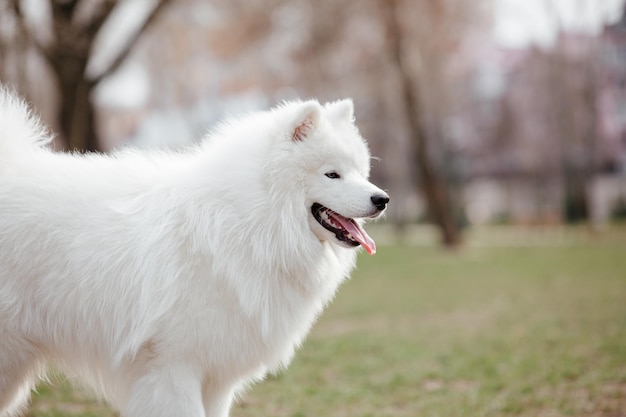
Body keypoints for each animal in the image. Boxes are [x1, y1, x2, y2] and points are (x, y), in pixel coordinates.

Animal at [0, 88, 388, 416]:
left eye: (359, 171)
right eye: (332, 174)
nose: (382, 199)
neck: (249, 219)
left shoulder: (215, 377)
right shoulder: (173, 367)